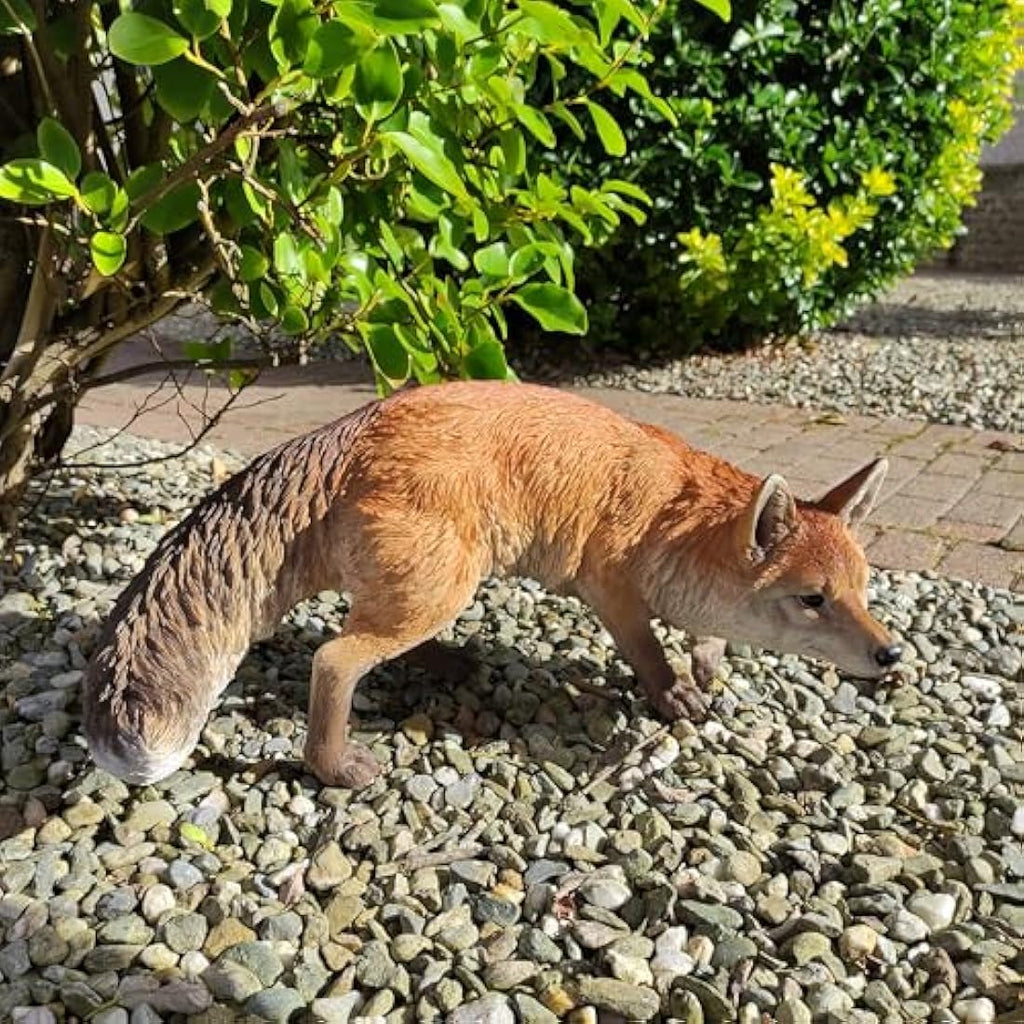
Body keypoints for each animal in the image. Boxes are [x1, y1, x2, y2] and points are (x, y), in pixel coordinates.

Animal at [82, 381, 901, 790]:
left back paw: (445, 663)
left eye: (864, 593)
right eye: (814, 600)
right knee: (335, 660)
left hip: (432, 586)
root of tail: (351, 426)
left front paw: (707, 669)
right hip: (443, 583)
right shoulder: (612, 591)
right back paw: (334, 766)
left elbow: (709, 641)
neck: (673, 513)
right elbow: (649, 654)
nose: (891, 657)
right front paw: (674, 696)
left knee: (369, 637)